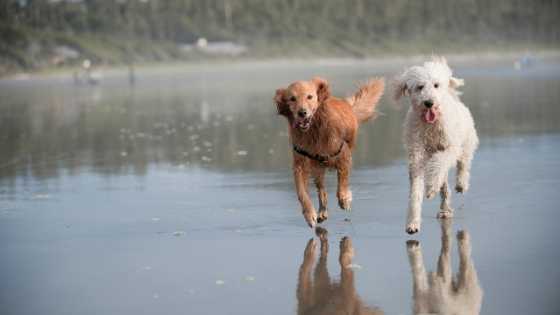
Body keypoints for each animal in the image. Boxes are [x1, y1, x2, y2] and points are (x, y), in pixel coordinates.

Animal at [276, 78, 384, 228]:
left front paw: (345, 198)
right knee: (321, 190)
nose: (302, 112)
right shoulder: (300, 164)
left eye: (310, 97)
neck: (313, 131)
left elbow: (342, 181)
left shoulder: (343, 154)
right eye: (292, 98)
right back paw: (322, 211)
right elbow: (301, 192)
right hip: (317, 169)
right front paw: (309, 214)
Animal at [394, 56, 476, 235]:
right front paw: (413, 223)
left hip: (466, 142)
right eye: (420, 87)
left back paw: (461, 184)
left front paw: (431, 187)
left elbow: (440, 162)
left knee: (463, 164)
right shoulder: (416, 156)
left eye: (436, 85)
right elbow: (415, 192)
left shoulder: (449, 148)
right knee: (444, 187)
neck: (430, 124)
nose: (429, 103)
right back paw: (445, 208)